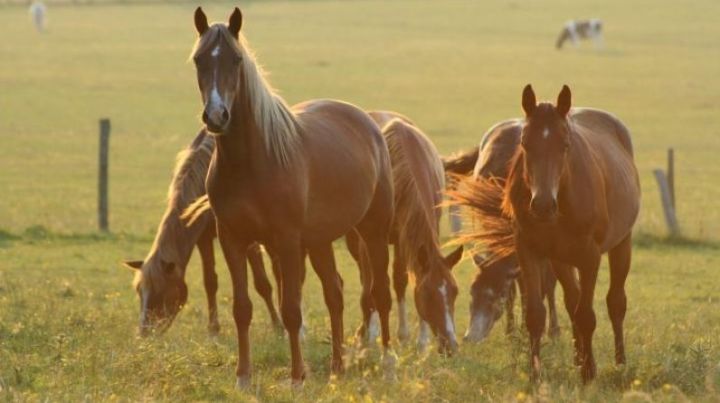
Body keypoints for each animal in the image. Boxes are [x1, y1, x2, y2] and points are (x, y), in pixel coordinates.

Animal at [124, 130, 282, 338]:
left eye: (160, 292)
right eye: (139, 292)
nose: (144, 334)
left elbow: (262, 284)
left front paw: (277, 326)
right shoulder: (204, 238)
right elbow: (210, 282)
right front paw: (213, 329)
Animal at [190, 7, 394, 388]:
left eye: (236, 59)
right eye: (198, 59)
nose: (216, 116)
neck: (252, 162)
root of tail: (368, 123)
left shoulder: (285, 241)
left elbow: (291, 309)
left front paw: (298, 376)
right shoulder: (232, 239)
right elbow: (242, 308)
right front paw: (243, 377)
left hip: (373, 231)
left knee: (382, 294)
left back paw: (388, 366)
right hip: (320, 240)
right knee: (335, 293)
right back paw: (337, 367)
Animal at [348, 116, 464, 354]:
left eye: (455, 292)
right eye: (428, 294)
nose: (451, 346)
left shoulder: (408, 238)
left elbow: (403, 280)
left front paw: (418, 340)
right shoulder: (370, 240)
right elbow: (370, 289)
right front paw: (368, 337)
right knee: (367, 280)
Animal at [450, 84, 640, 382]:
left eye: (565, 145)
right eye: (525, 143)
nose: (542, 204)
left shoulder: (590, 257)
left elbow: (586, 314)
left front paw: (588, 374)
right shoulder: (529, 251)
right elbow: (536, 312)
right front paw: (536, 372)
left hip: (621, 243)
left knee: (615, 301)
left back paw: (619, 362)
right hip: (561, 258)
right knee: (571, 300)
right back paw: (578, 357)